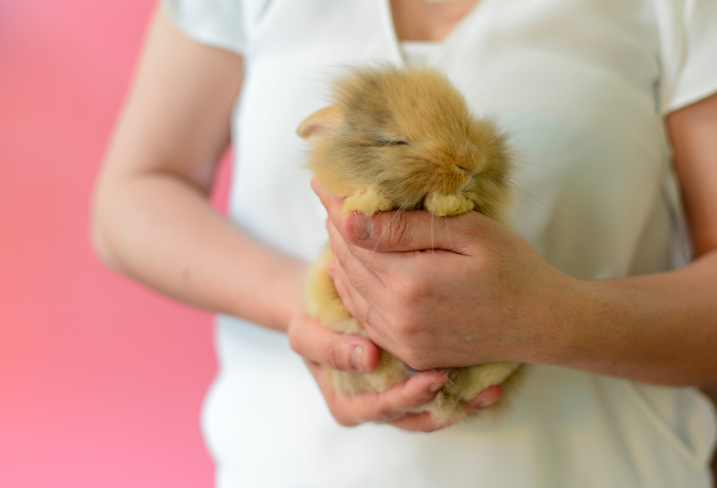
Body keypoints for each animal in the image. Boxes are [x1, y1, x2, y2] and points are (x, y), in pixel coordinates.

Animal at [296, 66, 520, 424]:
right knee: (379, 371)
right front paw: (371, 200)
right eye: (394, 142)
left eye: (465, 124)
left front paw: (451, 203)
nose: (468, 162)